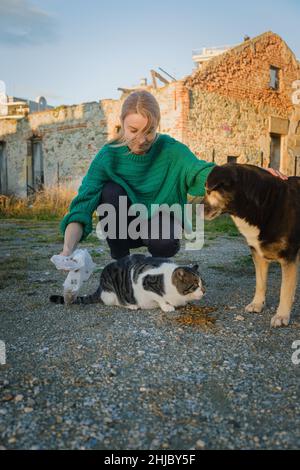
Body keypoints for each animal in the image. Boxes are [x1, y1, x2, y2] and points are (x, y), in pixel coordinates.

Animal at [50, 253, 205, 312]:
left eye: (203, 284)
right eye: (195, 285)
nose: (204, 291)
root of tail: (100, 288)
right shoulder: (144, 282)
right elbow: (160, 297)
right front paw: (166, 306)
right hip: (112, 293)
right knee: (117, 302)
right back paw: (131, 305)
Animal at [204, 163, 300, 328]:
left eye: (209, 190)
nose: (197, 211)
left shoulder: (289, 256)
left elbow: (285, 289)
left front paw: (282, 315)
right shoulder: (257, 254)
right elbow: (260, 282)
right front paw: (257, 304)